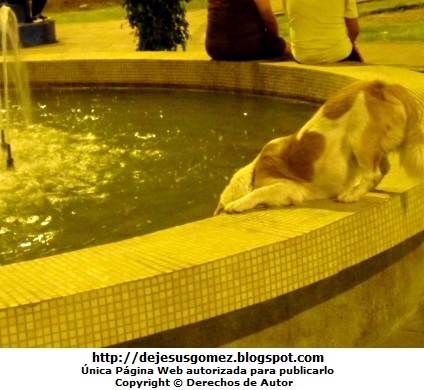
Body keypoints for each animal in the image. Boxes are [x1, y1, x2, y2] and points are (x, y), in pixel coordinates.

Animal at [217, 78, 422, 216]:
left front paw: (237, 205)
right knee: (383, 168)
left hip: (360, 142)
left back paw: (352, 195)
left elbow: (258, 192)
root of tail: (383, 85)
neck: (253, 172)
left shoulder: (287, 187)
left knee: (373, 173)